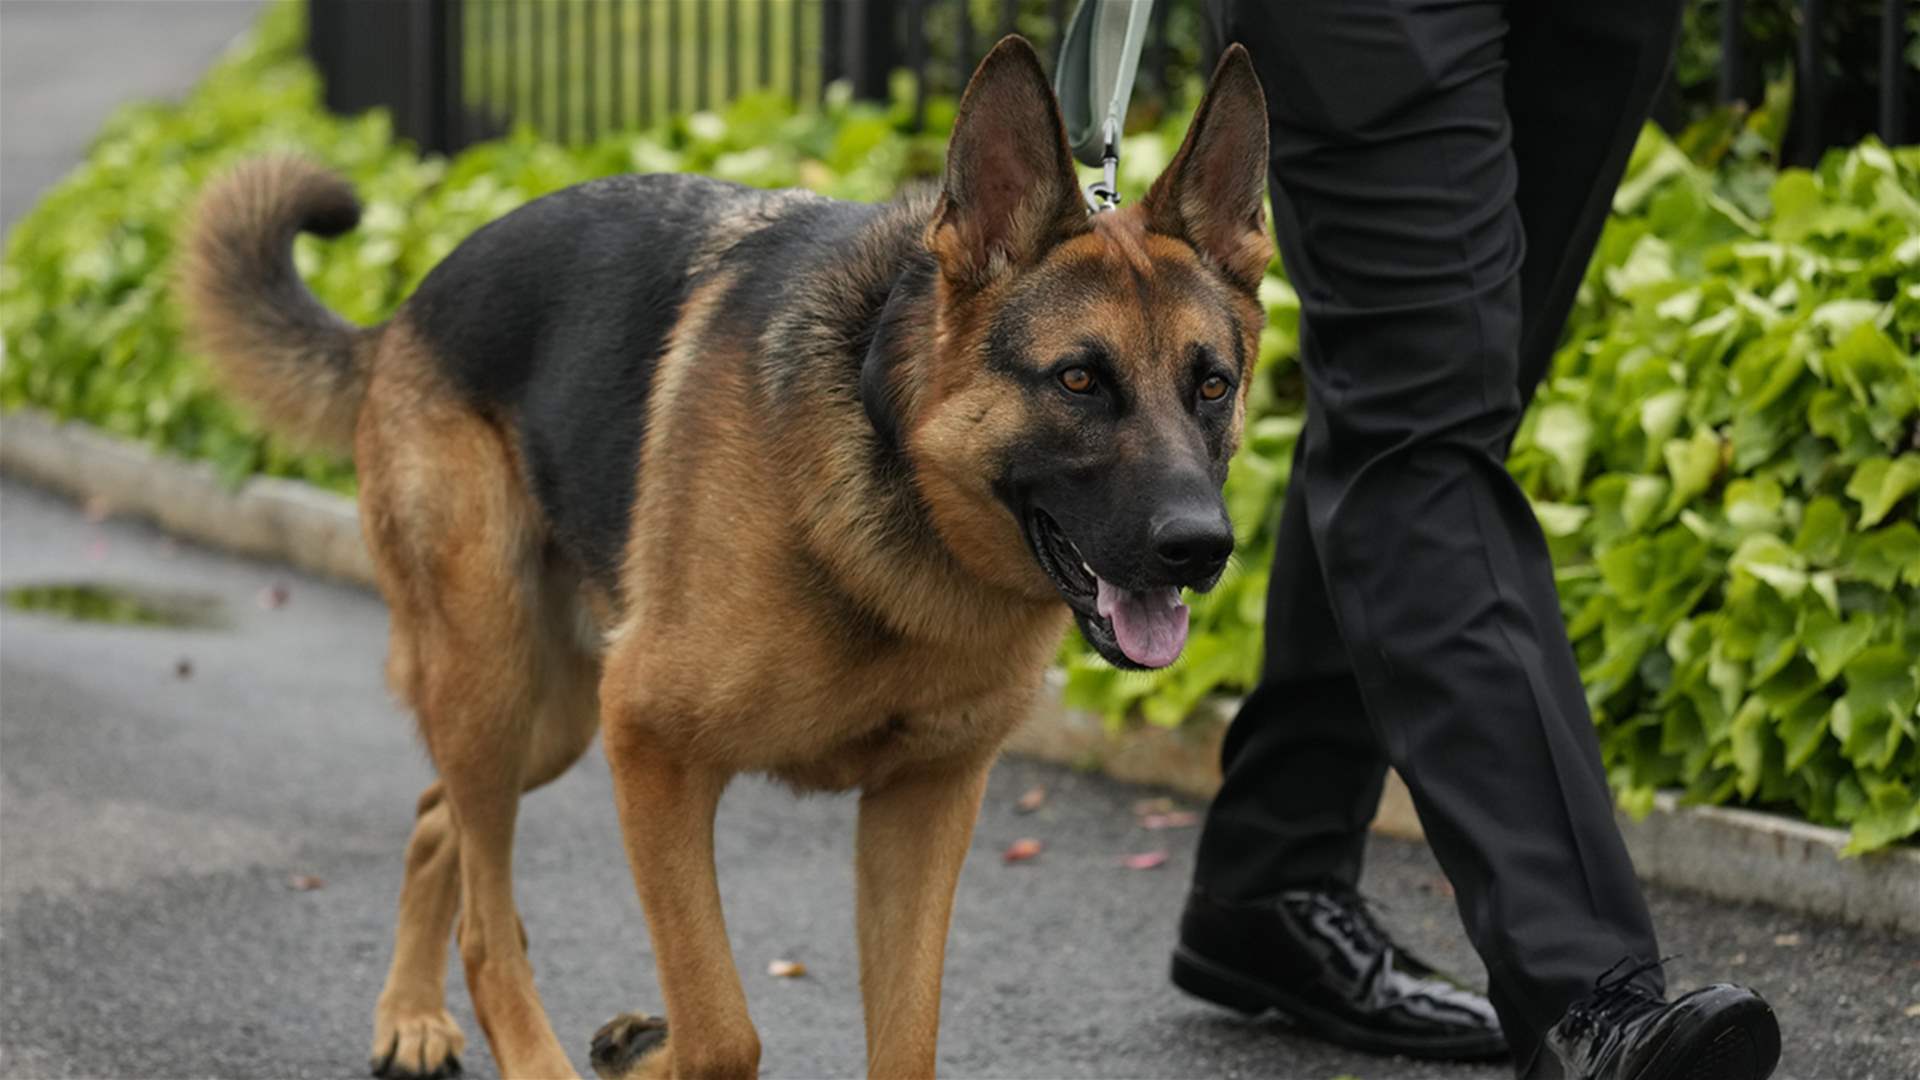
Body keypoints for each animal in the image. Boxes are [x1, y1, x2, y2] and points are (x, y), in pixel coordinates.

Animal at [183, 37, 1274, 1068]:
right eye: (1080, 380)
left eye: (1213, 386)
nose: (1202, 548)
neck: (897, 479)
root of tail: (409, 307)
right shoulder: (653, 750)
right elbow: (721, 1034)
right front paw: (654, 1050)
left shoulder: (920, 809)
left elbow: (905, 1043)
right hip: (500, 684)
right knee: (488, 929)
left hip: (550, 718)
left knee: (431, 816)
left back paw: (410, 1016)